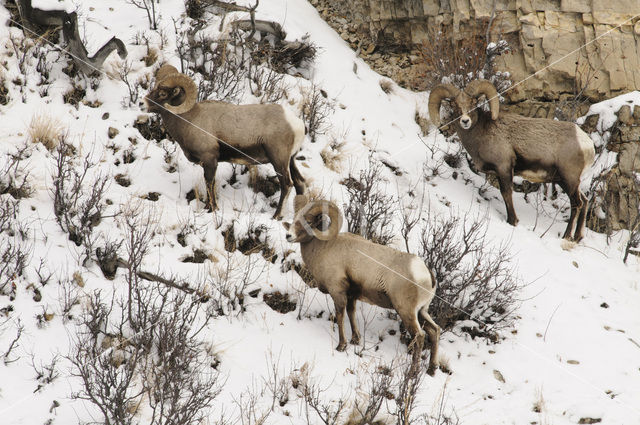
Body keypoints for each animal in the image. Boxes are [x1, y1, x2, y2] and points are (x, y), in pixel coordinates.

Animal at [145, 66, 304, 219]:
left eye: (163, 93)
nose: (143, 102)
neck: (189, 120)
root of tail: (297, 124)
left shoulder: (209, 160)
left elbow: (210, 183)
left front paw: (212, 209)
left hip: (279, 160)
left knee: (287, 185)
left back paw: (276, 216)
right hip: (290, 161)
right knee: (299, 183)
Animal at [284, 195, 440, 374]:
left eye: (308, 222)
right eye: (294, 219)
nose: (288, 235)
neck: (324, 248)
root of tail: (426, 275)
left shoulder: (338, 293)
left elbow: (340, 316)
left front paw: (341, 346)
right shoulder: (352, 295)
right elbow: (351, 314)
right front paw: (355, 340)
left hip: (407, 312)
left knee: (419, 336)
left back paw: (412, 372)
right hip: (422, 312)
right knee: (434, 331)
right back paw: (431, 369)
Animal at [430, 78, 596, 240]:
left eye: (473, 103)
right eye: (454, 105)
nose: (465, 121)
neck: (481, 133)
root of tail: (587, 144)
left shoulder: (504, 168)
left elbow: (506, 193)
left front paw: (512, 221)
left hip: (569, 179)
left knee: (577, 204)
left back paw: (567, 237)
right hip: (565, 181)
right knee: (585, 201)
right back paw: (577, 237)